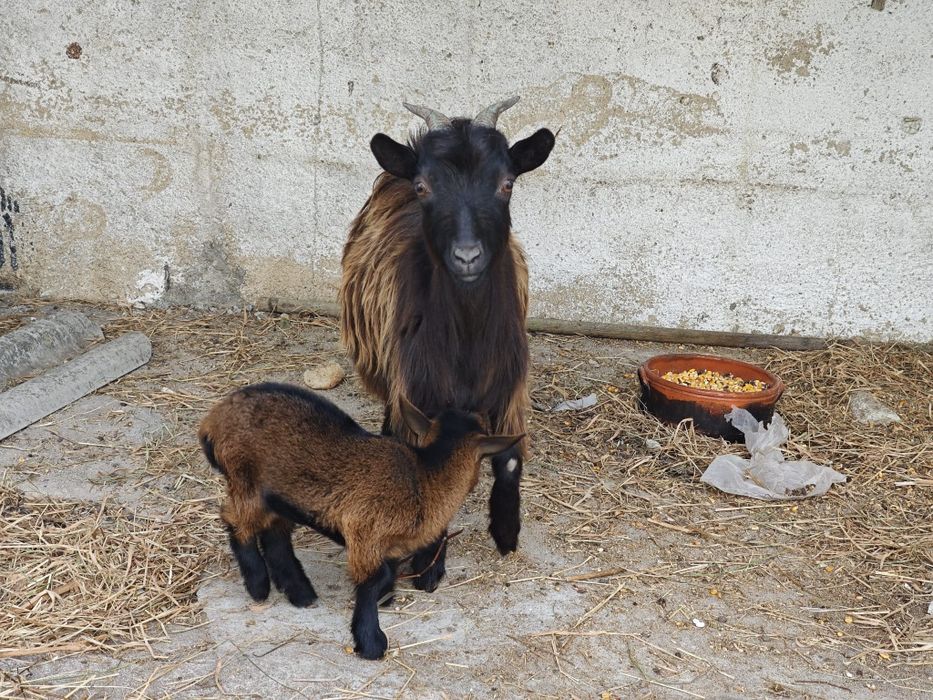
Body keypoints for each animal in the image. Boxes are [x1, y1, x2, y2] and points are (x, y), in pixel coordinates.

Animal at [199, 382, 521, 660]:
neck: (423, 479)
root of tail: (212, 421)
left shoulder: (386, 545)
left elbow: (386, 575)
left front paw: (386, 599)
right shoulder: (364, 530)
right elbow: (372, 580)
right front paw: (371, 643)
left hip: (278, 496)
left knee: (274, 534)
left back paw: (299, 592)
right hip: (245, 480)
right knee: (236, 522)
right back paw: (259, 585)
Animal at [340, 97, 555, 591]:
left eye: (506, 183)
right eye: (424, 186)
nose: (467, 256)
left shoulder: (509, 389)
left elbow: (509, 461)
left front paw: (506, 533)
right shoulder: (419, 392)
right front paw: (428, 566)